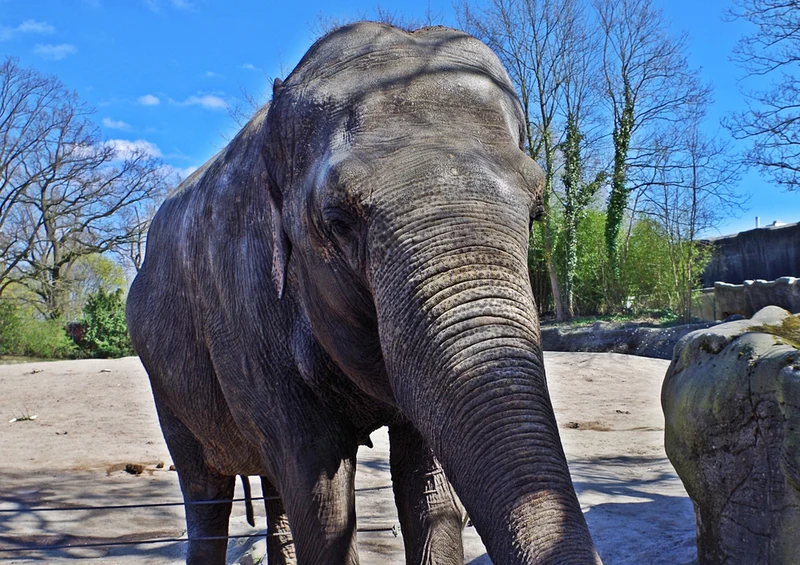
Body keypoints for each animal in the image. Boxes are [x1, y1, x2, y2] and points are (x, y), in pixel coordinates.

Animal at [127, 22, 601, 565]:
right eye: (339, 222)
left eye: (537, 212)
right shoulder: (244, 311)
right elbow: (319, 494)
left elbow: (428, 484)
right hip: (166, 381)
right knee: (206, 492)